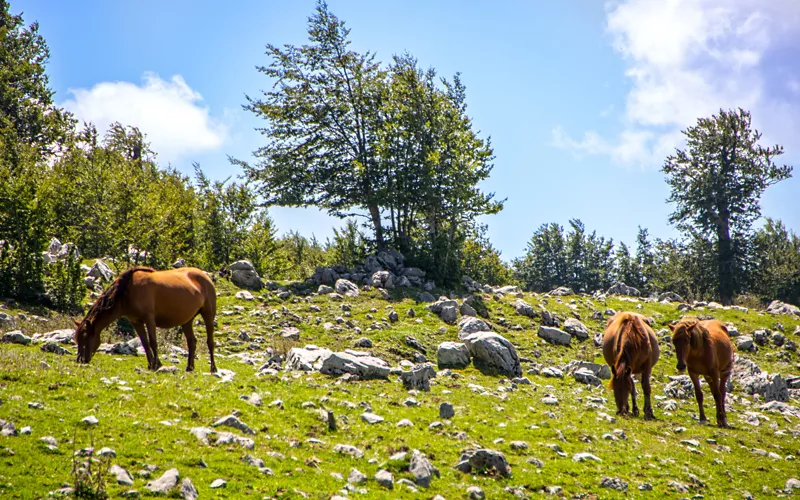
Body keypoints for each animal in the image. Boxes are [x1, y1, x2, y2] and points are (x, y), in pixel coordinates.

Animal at [74, 268, 217, 374]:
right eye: (77, 339)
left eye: (86, 337)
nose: (80, 360)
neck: (127, 291)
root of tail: (205, 277)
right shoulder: (136, 322)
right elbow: (145, 343)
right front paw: (150, 364)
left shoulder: (149, 318)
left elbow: (153, 342)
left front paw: (157, 364)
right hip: (187, 320)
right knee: (192, 342)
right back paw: (189, 367)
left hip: (208, 315)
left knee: (210, 342)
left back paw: (213, 368)